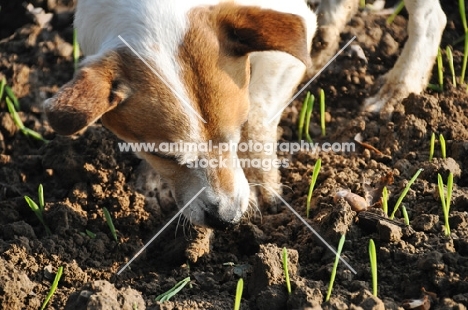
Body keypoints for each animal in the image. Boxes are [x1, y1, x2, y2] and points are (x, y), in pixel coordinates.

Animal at [43, 0, 446, 228]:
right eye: (163, 154)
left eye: (233, 135)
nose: (225, 221)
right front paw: (151, 181)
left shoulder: (289, 27)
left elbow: (258, 114)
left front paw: (265, 188)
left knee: (432, 18)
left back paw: (400, 85)